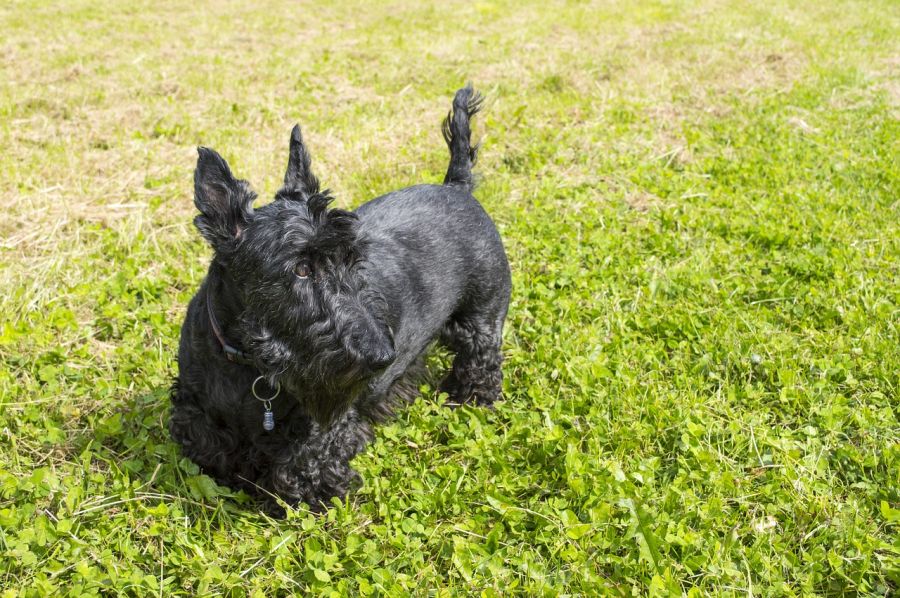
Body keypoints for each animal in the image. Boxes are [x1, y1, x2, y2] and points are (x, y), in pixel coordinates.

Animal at [166, 88, 510, 510]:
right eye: (300, 269)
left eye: (352, 258)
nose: (382, 357)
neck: (246, 361)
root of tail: (456, 186)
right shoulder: (196, 409)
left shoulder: (322, 429)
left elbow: (302, 469)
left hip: (483, 316)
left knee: (481, 360)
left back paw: (469, 400)